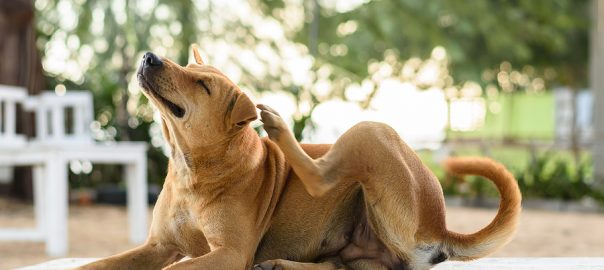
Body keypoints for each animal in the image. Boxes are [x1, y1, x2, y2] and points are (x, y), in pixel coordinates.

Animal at [79, 47, 520, 270]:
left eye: (201, 84)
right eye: (187, 67)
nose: (148, 56)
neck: (194, 169)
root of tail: (440, 224)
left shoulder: (229, 253)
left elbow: (178, 269)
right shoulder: (157, 246)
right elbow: (102, 264)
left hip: (371, 131)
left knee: (322, 176)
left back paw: (278, 126)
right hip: (358, 251)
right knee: (339, 268)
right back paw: (281, 265)